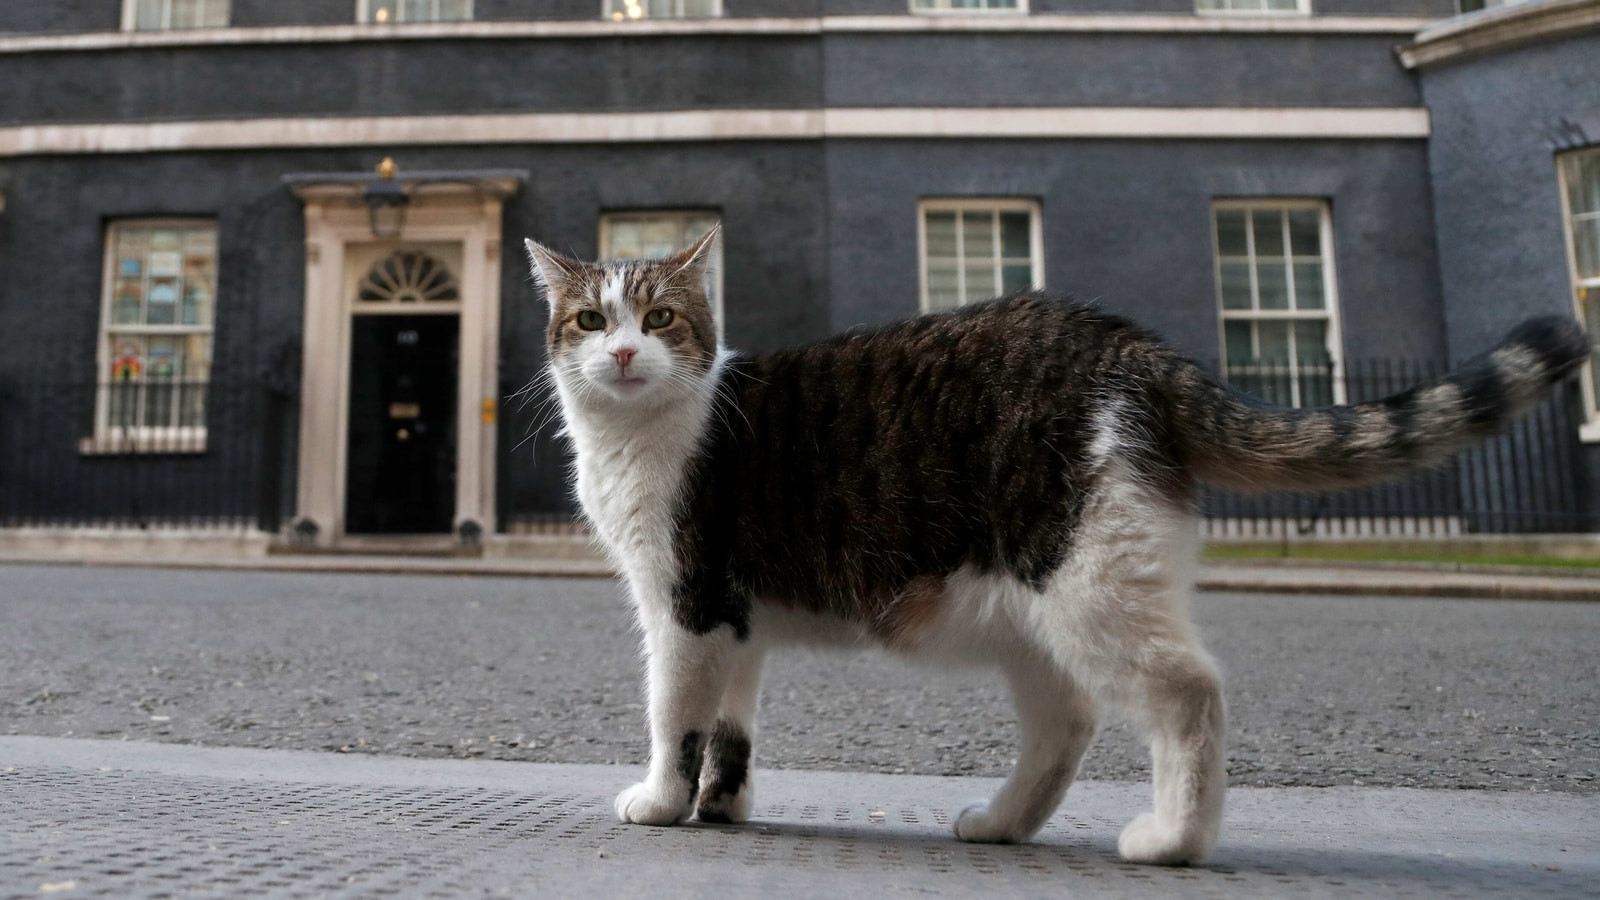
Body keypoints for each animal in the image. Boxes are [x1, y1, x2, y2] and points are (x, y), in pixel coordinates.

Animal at [524, 225, 1587, 864]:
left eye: (662, 317)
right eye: (590, 319)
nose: (623, 352)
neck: (646, 433)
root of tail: (1129, 347)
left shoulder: (686, 602)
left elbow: (675, 715)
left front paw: (662, 801)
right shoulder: (737, 621)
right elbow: (732, 725)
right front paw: (723, 806)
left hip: (1086, 581)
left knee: (1189, 694)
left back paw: (1173, 840)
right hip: (1032, 610)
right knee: (1066, 722)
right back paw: (1001, 825)